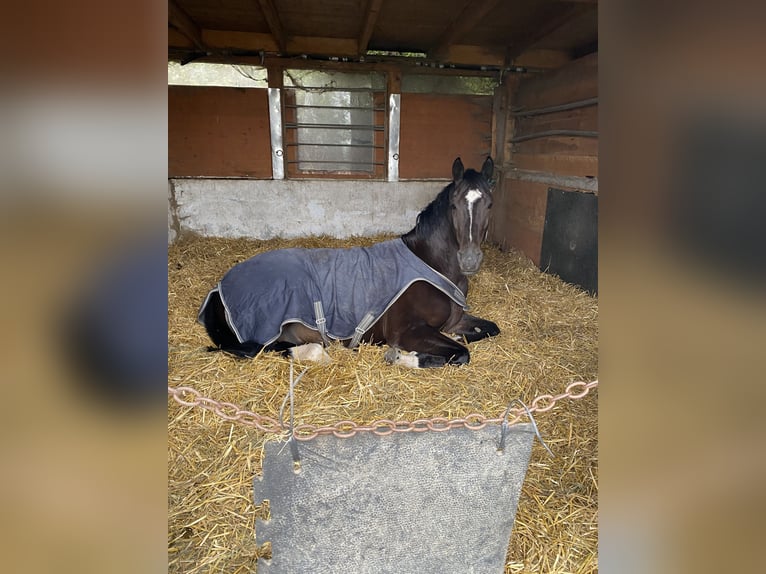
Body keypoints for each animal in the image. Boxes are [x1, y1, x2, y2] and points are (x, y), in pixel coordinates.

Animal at [198, 158, 500, 368]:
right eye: (454, 205)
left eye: (489, 204)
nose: (470, 259)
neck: (431, 265)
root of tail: (219, 288)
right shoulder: (407, 331)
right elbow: (461, 354)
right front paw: (404, 358)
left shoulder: (454, 322)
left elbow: (491, 330)